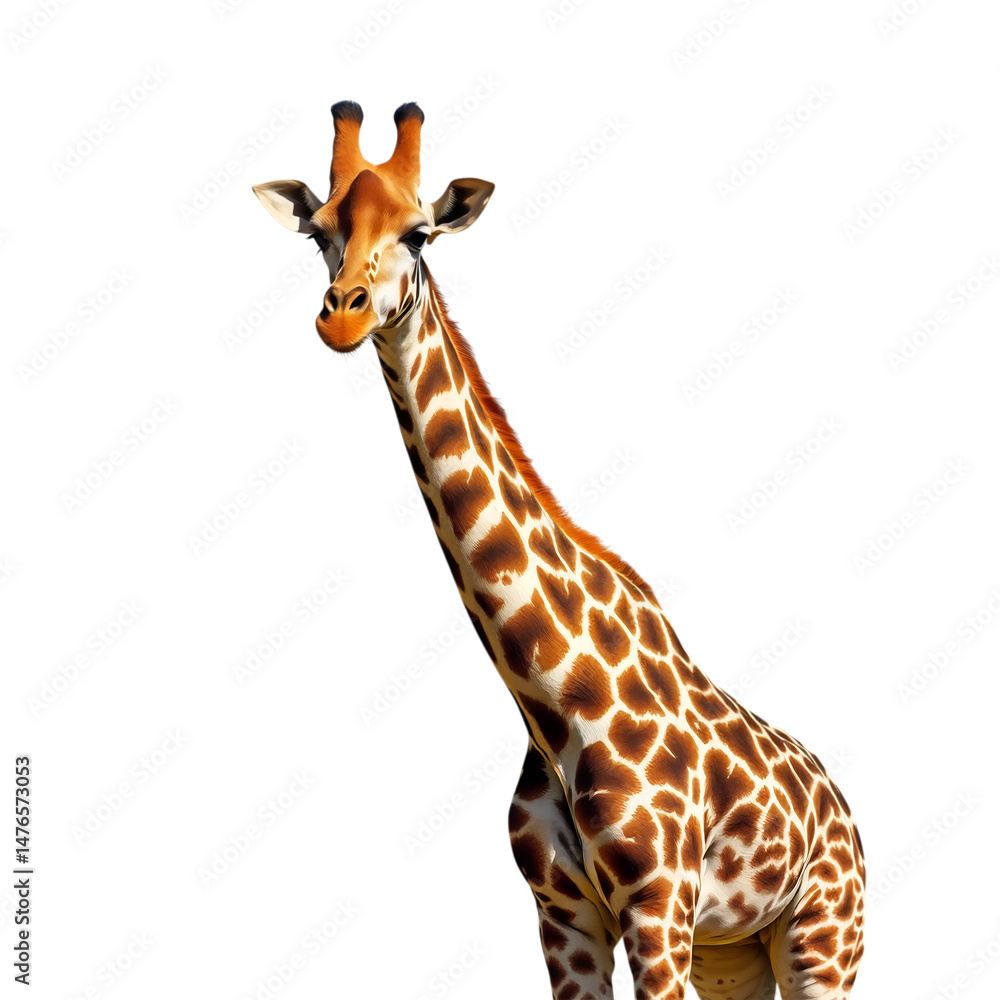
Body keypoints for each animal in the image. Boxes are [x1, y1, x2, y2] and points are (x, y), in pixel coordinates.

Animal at [253, 101, 865, 1000]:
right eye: (321, 231)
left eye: (420, 233)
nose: (344, 314)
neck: (552, 700)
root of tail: (843, 805)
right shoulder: (563, 918)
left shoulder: (657, 908)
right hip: (735, 953)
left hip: (821, 937)